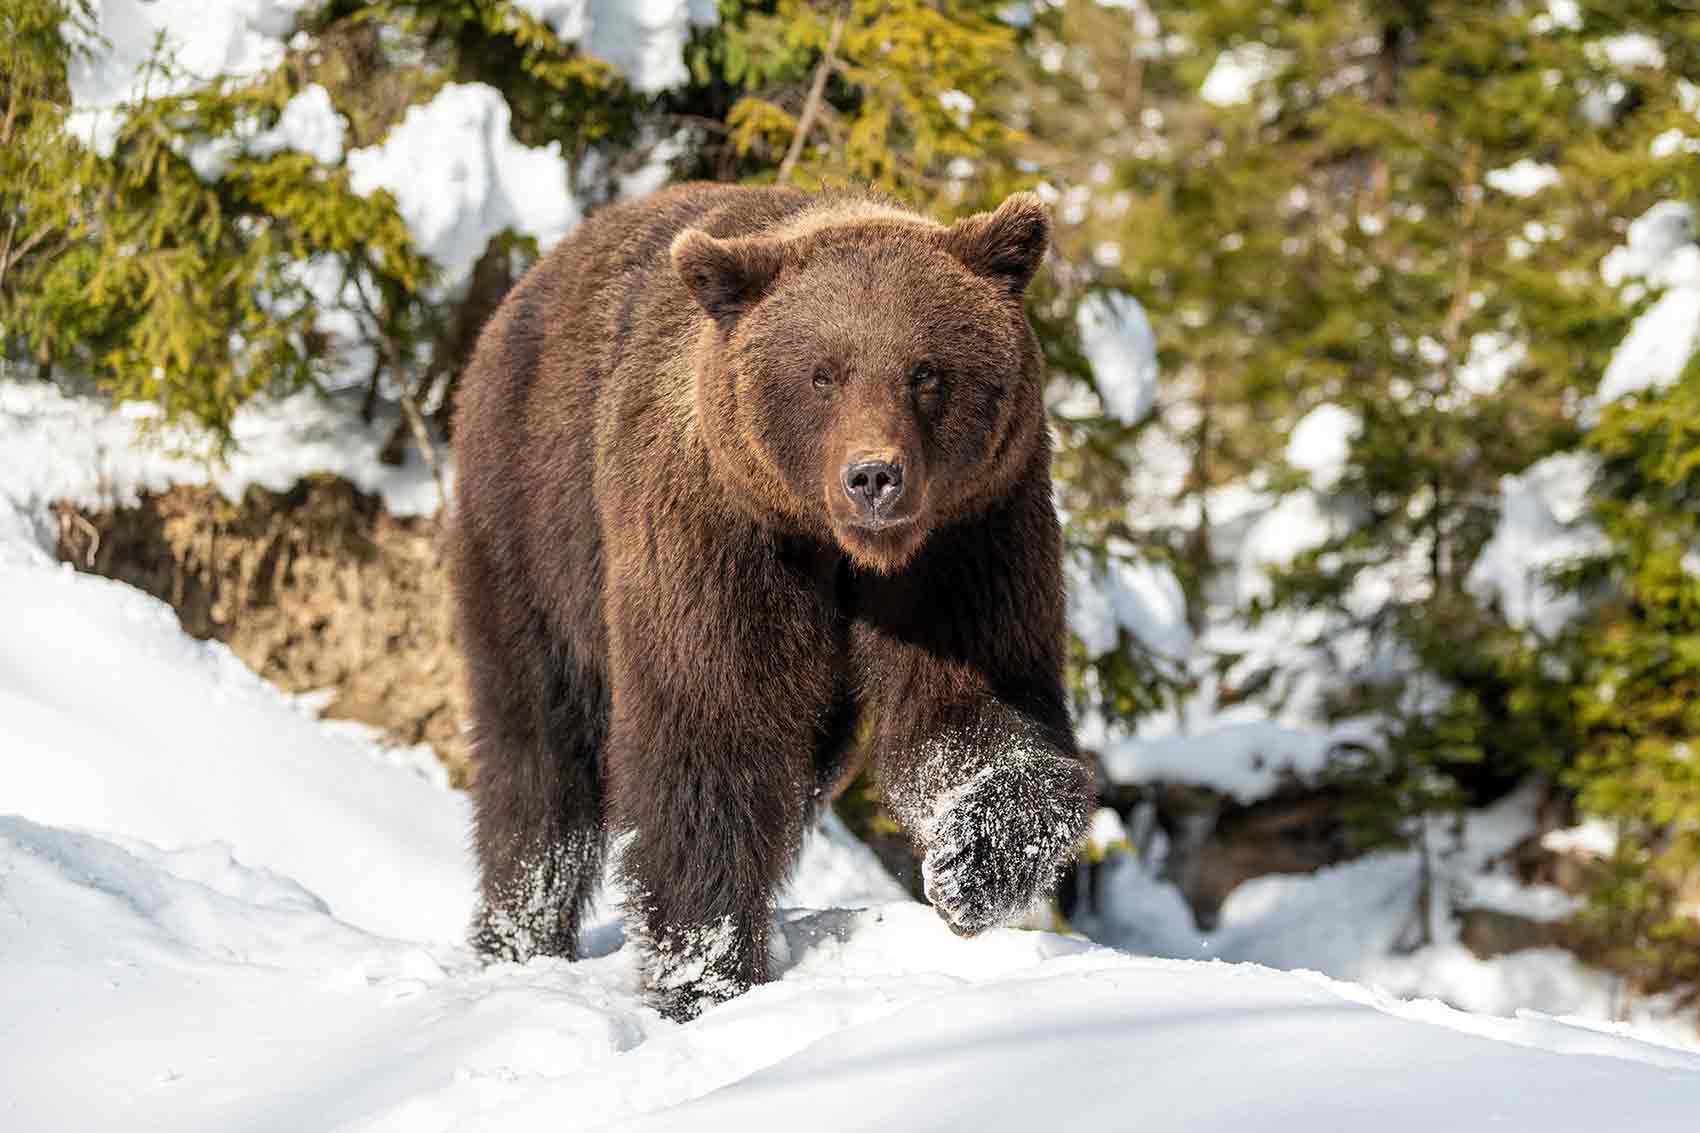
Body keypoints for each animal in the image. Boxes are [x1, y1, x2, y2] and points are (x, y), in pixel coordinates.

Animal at [448, 182, 1088, 1013]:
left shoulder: (966, 536)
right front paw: (707, 972)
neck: (838, 547)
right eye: (823, 373)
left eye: (925, 371)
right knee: (537, 749)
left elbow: (971, 706)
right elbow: (711, 734)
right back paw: (519, 939)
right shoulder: (719, 535)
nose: (873, 475)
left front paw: (972, 869)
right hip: (535, 522)